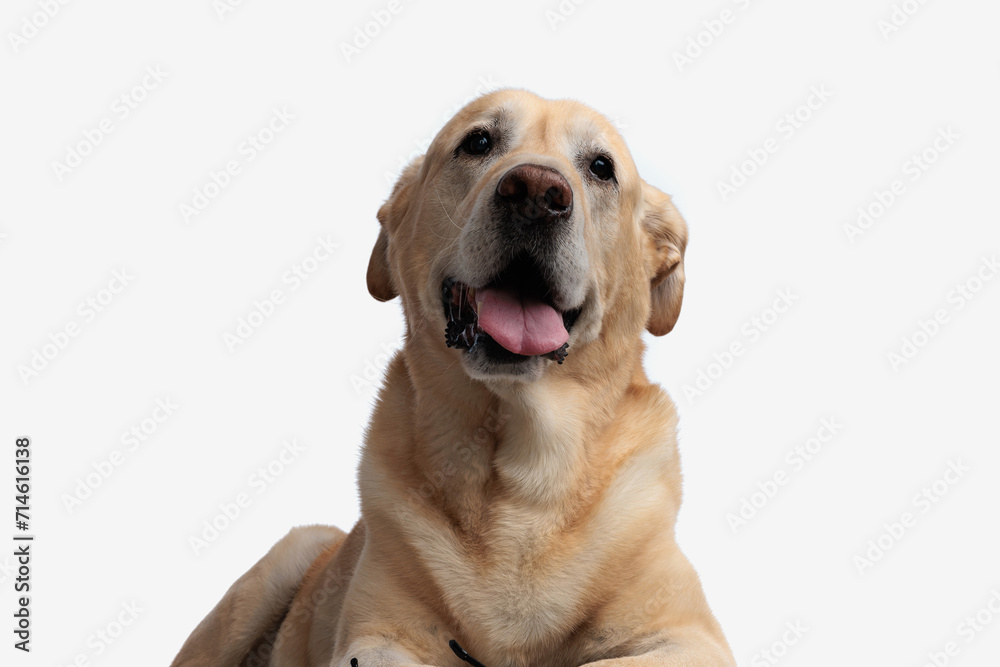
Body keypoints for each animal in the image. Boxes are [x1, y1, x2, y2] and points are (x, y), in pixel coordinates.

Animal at [172, 90, 736, 667]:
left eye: (601, 167)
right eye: (478, 141)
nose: (537, 193)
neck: (523, 470)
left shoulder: (691, 636)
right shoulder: (376, 636)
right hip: (285, 560)